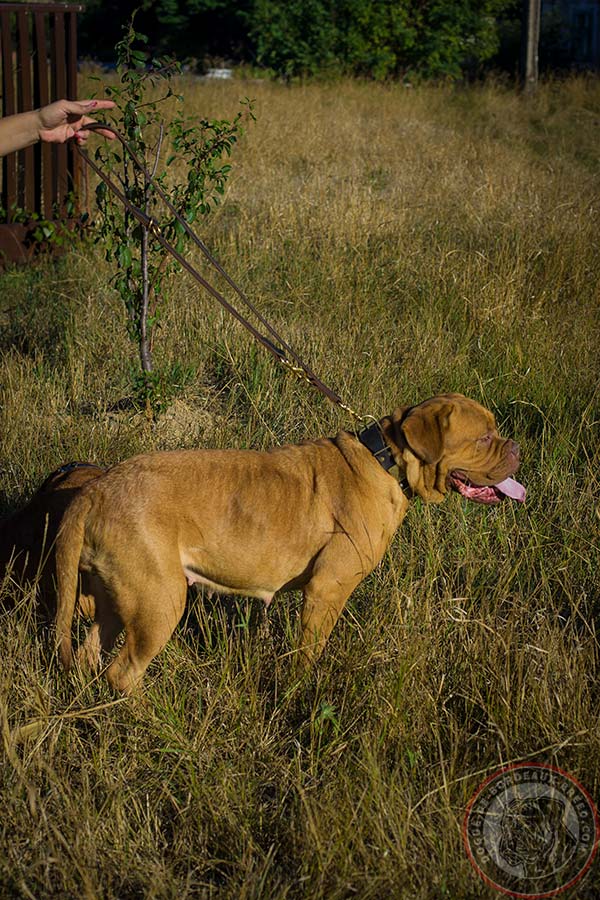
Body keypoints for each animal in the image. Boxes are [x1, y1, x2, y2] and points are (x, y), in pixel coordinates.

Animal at [55, 392, 524, 688]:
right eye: (484, 438)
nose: (517, 448)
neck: (386, 460)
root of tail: (95, 490)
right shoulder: (326, 591)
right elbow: (307, 655)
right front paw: (301, 692)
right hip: (159, 602)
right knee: (123, 673)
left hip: (118, 599)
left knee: (89, 653)